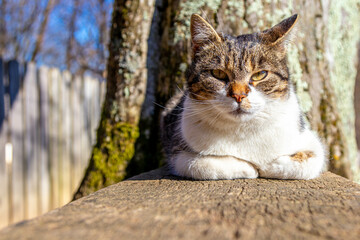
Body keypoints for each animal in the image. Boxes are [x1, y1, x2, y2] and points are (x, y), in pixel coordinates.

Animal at [160, 12, 326, 178]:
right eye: (218, 74)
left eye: (260, 74)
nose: (239, 95)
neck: (242, 130)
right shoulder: (178, 153)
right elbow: (203, 163)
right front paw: (250, 168)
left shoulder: (309, 140)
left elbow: (308, 160)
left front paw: (268, 166)